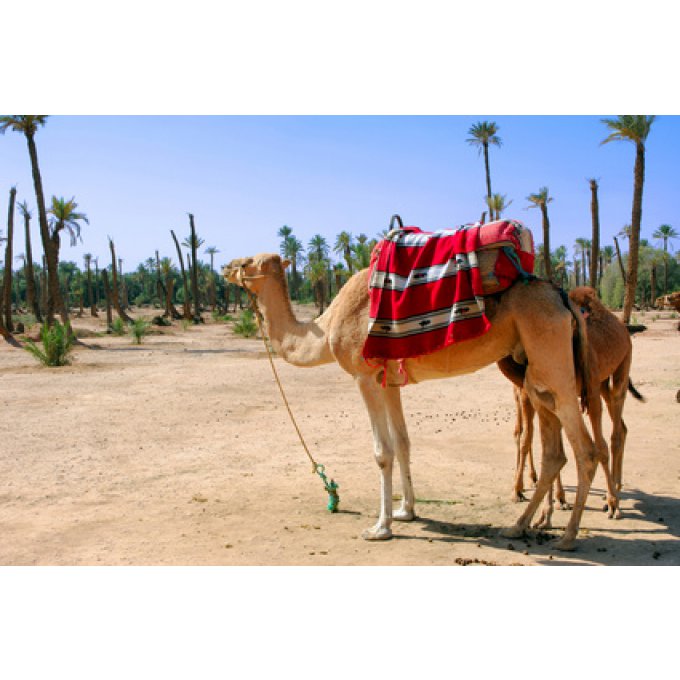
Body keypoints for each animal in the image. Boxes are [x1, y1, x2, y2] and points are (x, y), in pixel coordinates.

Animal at [227, 252, 600, 548]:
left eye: (247, 263)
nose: (227, 267)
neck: (327, 326)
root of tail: (563, 297)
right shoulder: (390, 382)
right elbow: (403, 442)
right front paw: (406, 511)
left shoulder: (365, 376)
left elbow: (382, 452)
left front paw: (380, 527)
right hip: (533, 371)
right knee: (555, 452)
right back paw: (519, 526)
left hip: (552, 359)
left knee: (586, 449)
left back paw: (568, 537)